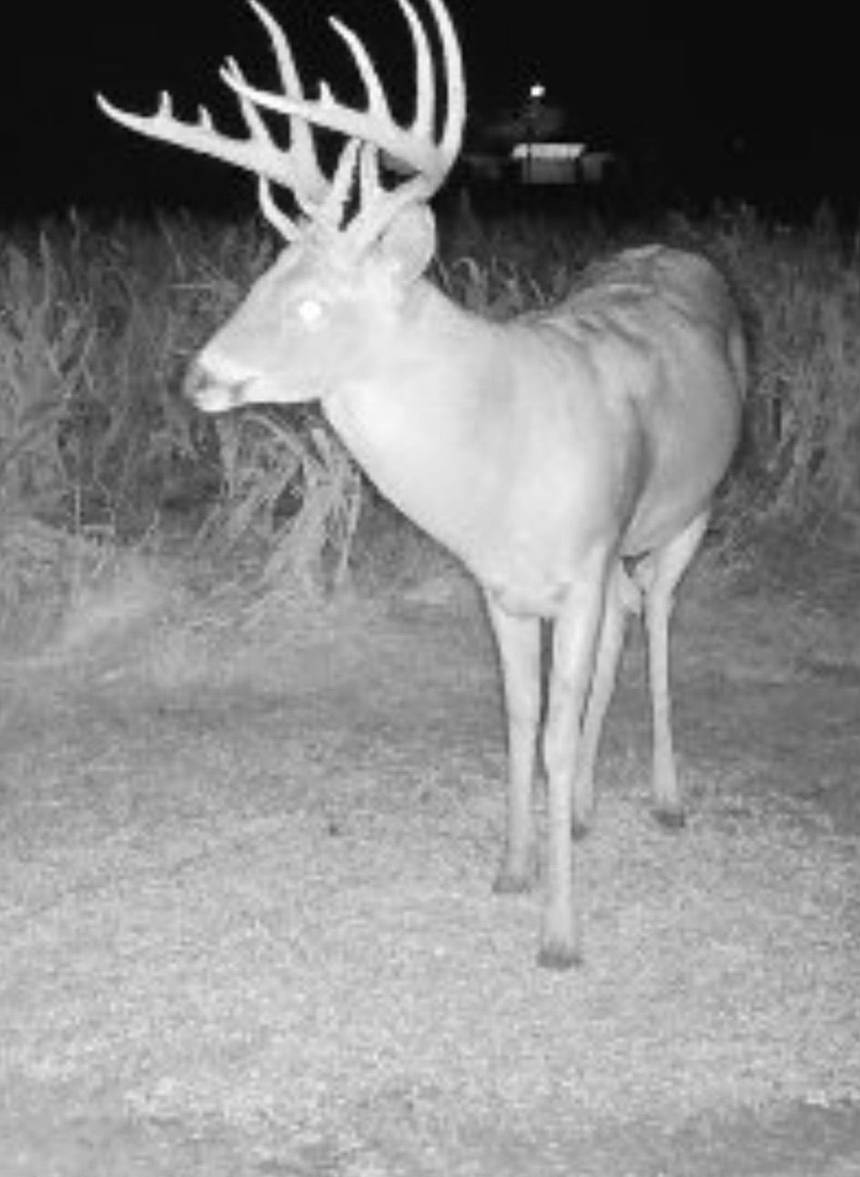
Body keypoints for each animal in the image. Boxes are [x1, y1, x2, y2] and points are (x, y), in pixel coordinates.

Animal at [97, 0, 746, 969]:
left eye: (314, 303)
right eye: (264, 276)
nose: (198, 378)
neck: (504, 456)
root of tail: (673, 250)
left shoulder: (580, 568)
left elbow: (552, 735)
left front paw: (561, 935)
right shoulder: (505, 588)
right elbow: (520, 722)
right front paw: (514, 868)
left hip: (689, 511)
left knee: (661, 616)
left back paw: (666, 798)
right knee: (629, 625)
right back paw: (586, 811)